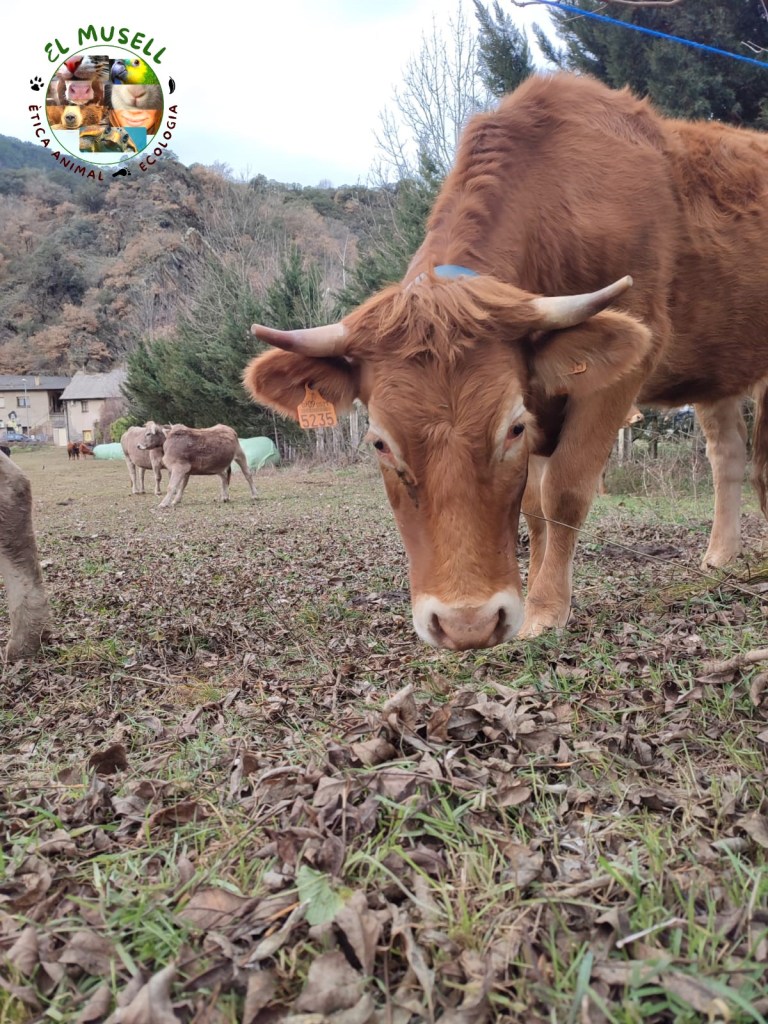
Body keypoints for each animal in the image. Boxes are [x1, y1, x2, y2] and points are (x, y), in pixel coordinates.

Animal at [244, 72, 768, 650]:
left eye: (511, 429)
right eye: (379, 442)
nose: (466, 624)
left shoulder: (621, 369)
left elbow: (564, 492)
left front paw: (545, 609)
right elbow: (536, 506)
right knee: (728, 455)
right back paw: (720, 557)